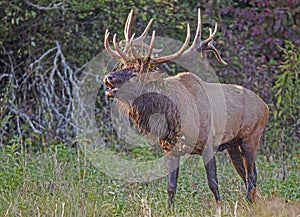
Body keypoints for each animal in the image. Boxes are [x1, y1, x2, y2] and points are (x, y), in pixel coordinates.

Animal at [102, 9, 268, 208]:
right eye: (124, 65)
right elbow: (171, 186)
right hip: (233, 144)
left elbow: (213, 182)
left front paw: (219, 207)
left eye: (135, 74)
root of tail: (265, 106)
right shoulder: (170, 150)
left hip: (251, 137)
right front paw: (169, 208)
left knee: (252, 175)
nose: (108, 77)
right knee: (245, 175)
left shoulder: (209, 144)